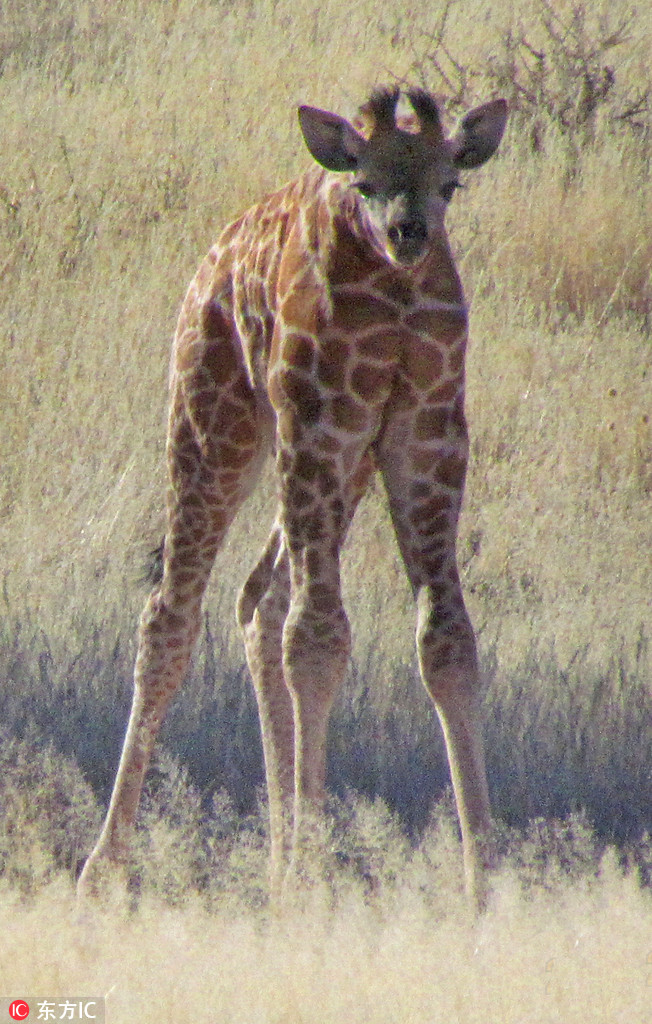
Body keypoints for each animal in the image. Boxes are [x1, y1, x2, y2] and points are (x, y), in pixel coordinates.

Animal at [78, 86, 507, 905]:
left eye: (451, 185)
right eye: (363, 184)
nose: (409, 234)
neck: (393, 293)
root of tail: (212, 256)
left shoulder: (427, 437)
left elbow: (446, 640)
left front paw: (486, 885)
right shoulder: (320, 423)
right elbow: (317, 638)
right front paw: (316, 877)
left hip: (338, 466)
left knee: (256, 598)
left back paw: (274, 865)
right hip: (220, 420)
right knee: (171, 615)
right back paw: (102, 871)